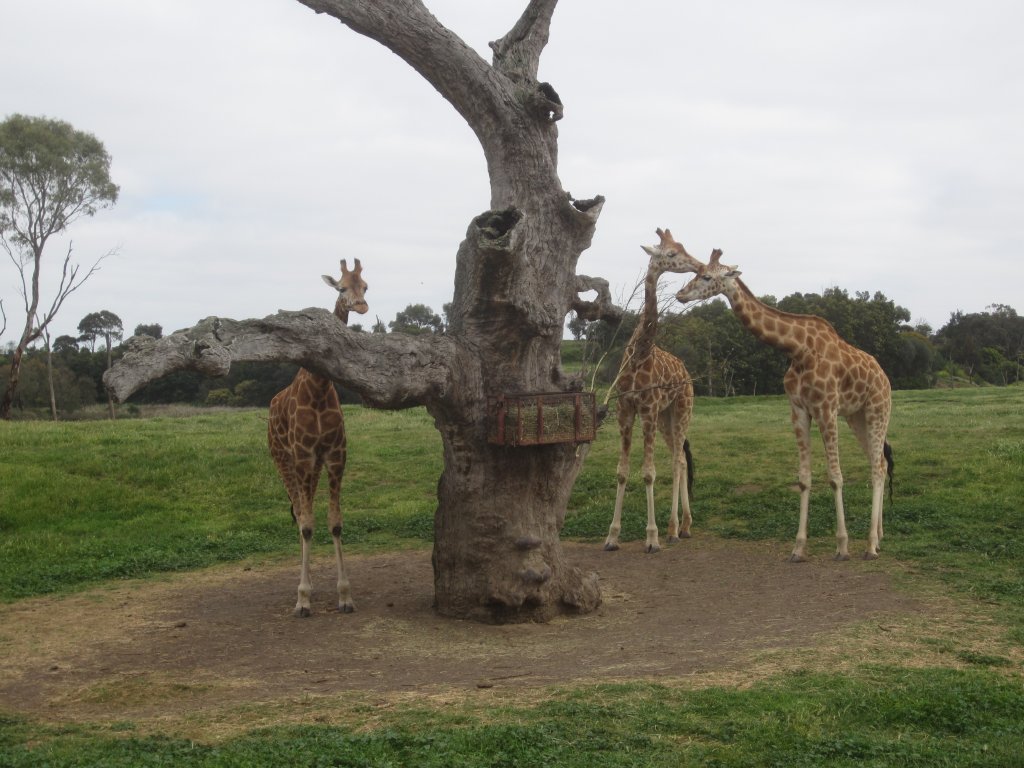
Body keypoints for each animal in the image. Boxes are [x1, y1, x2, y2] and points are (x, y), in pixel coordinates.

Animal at [268, 258, 368, 616]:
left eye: (365, 285)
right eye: (340, 287)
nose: (361, 305)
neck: (319, 387)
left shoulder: (334, 456)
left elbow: (334, 523)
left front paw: (345, 595)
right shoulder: (301, 457)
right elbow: (308, 524)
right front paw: (303, 598)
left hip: (310, 468)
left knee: (303, 513)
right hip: (283, 461)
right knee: (300, 515)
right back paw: (303, 586)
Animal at [604, 228, 703, 553]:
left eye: (683, 246)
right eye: (671, 253)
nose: (699, 265)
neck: (639, 355)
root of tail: (686, 373)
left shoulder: (646, 410)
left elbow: (649, 473)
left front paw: (652, 537)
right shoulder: (625, 410)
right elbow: (622, 472)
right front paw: (612, 537)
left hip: (682, 409)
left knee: (676, 462)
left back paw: (674, 529)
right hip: (665, 418)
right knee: (681, 459)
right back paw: (682, 526)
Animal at [675, 249, 894, 561]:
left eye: (706, 276)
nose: (680, 294)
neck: (798, 349)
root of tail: (884, 376)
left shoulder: (826, 408)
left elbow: (835, 477)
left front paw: (842, 545)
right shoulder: (799, 410)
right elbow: (804, 479)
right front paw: (799, 547)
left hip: (878, 409)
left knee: (877, 466)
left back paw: (871, 545)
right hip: (856, 416)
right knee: (881, 463)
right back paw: (879, 535)